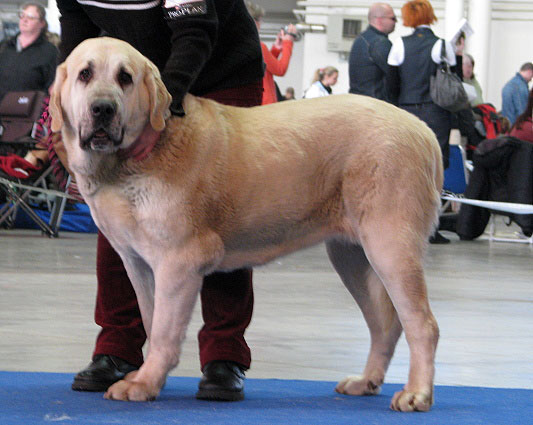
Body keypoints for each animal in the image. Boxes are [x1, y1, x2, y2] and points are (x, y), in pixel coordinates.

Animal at [48, 39, 440, 410]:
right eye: (85, 74)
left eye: (125, 78)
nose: (103, 108)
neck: (131, 162)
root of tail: (422, 129)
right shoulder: (138, 264)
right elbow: (150, 318)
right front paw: (145, 377)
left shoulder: (179, 262)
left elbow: (163, 331)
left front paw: (143, 383)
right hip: (351, 256)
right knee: (385, 324)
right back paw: (366, 381)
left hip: (389, 243)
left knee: (422, 325)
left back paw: (415, 394)